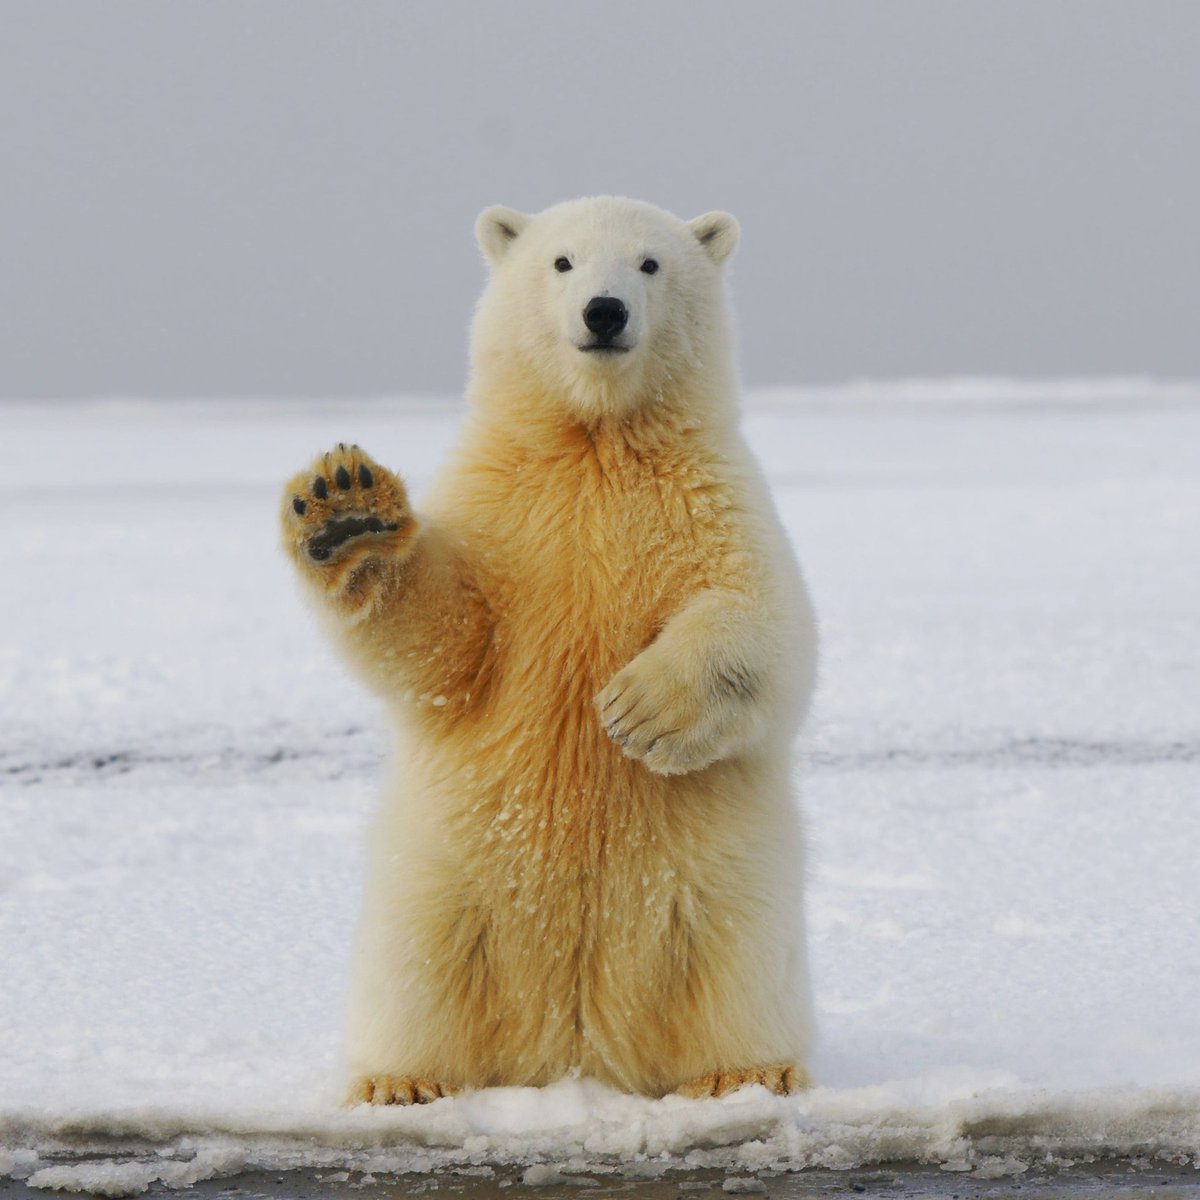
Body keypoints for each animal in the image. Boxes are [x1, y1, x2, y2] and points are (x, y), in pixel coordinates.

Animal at [280, 196, 818, 1103]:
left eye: (649, 263)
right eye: (561, 262)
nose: (604, 312)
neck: (594, 440)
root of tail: (574, 1049)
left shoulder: (712, 498)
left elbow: (765, 623)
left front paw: (638, 710)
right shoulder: (503, 509)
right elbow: (446, 643)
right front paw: (346, 510)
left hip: (722, 885)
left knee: (735, 966)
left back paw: (747, 1072)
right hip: (444, 880)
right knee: (417, 969)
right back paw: (401, 1081)